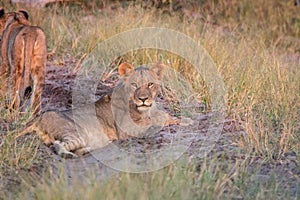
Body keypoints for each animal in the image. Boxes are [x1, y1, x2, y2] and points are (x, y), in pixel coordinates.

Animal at [17, 63, 180, 158]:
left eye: (150, 84)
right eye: (134, 84)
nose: (143, 99)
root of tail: (38, 119)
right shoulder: (127, 130)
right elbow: (155, 122)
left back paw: (88, 150)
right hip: (74, 132)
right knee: (57, 145)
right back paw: (71, 154)